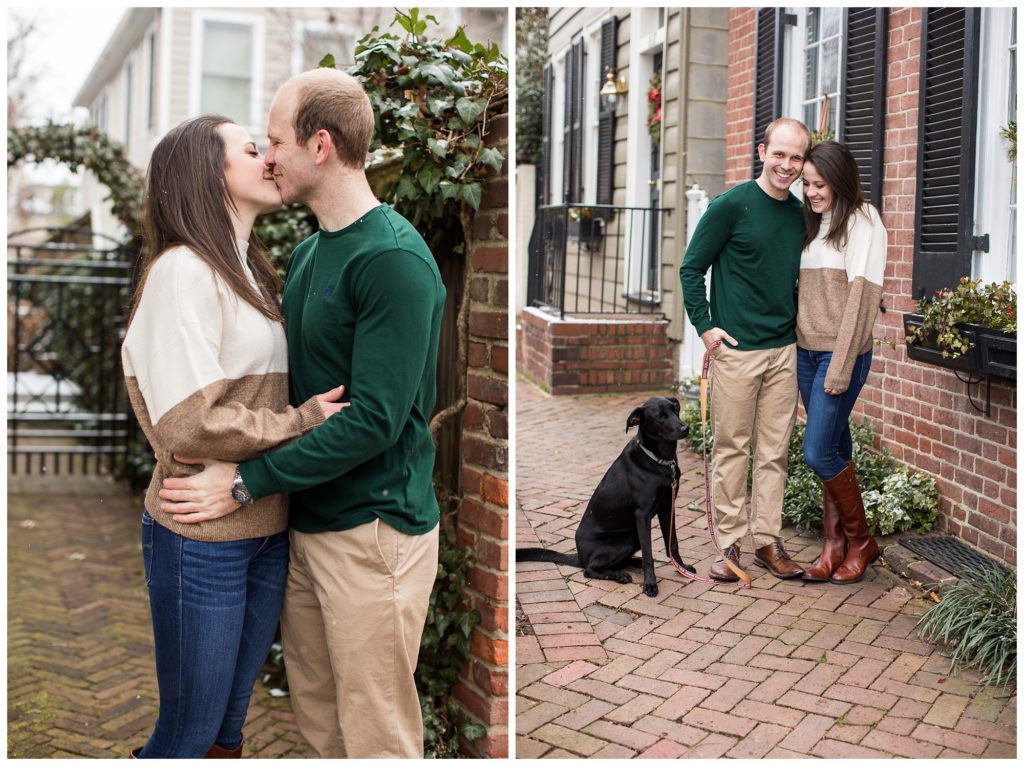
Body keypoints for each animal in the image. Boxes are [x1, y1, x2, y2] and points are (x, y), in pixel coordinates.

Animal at [520, 395, 696, 598]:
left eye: (675, 408)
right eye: (659, 416)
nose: (685, 428)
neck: (661, 461)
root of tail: (579, 556)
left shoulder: (668, 507)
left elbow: (672, 544)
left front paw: (683, 568)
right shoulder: (643, 515)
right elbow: (649, 554)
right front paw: (650, 584)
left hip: (633, 536)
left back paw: (631, 563)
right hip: (627, 539)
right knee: (589, 570)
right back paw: (619, 575)